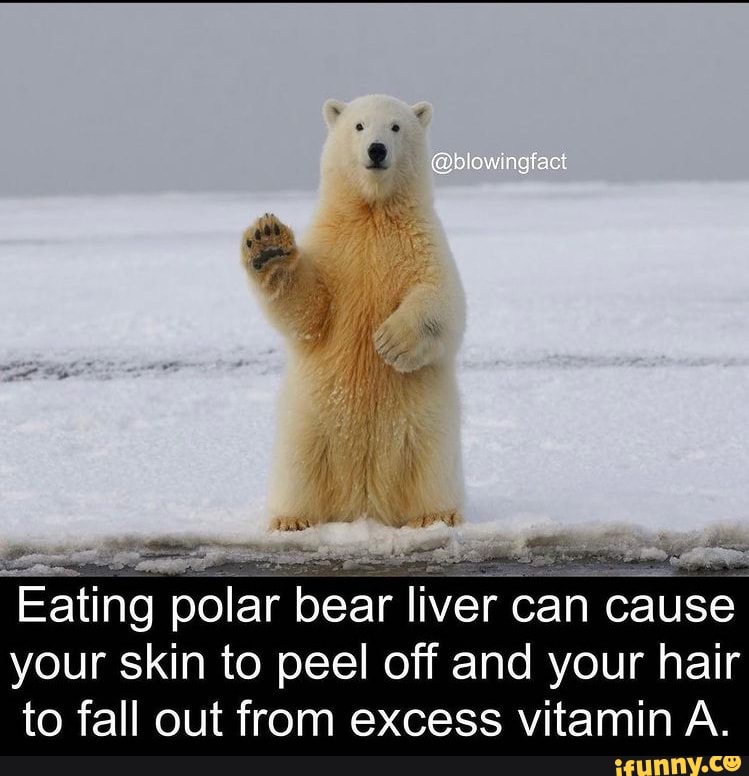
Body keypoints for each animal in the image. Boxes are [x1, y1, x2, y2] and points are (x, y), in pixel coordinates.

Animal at [240, 94, 465, 531]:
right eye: (359, 126)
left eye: (395, 126)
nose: (376, 150)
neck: (372, 213)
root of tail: (365, 503)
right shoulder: (334, 249)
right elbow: (310, 310)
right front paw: (268, 245)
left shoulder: (422, 243)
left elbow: (443, 300)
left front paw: (391, 341)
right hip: (308, 424)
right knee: (298, 468)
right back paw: (291, 519)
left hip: (427, 427)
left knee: (431, 467)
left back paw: (435, 516)